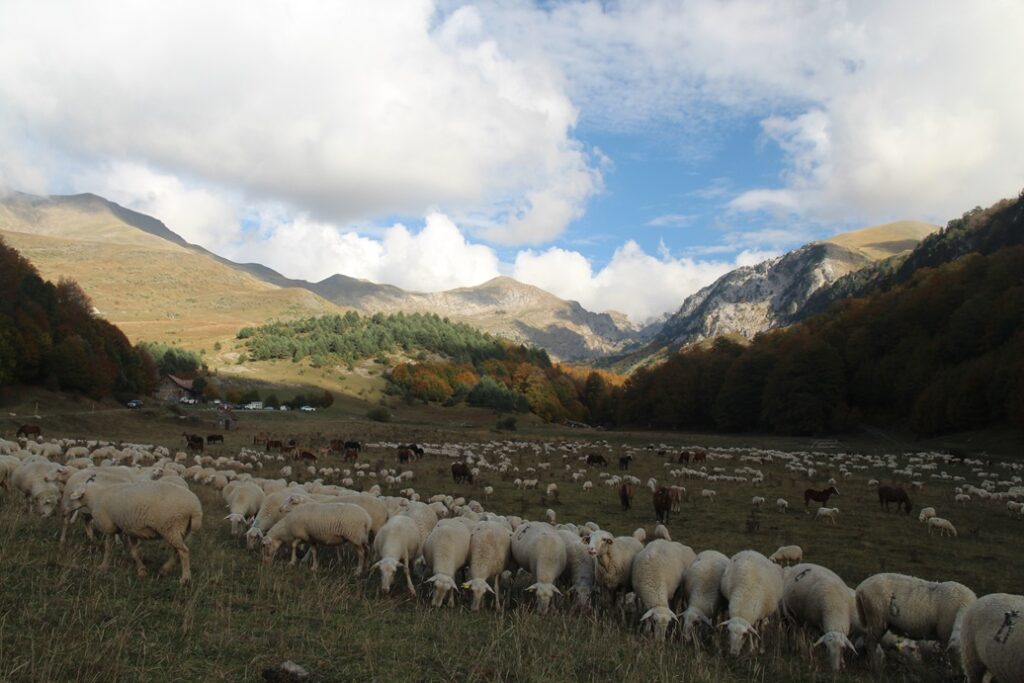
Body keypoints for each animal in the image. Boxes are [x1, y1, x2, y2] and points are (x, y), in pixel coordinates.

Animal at [67, 480, 203, 584]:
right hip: (180, 531)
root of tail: (195, 508)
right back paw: (165, 569)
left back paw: (185, 578)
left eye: (73, 494)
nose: (65, 510)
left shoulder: (109, 526)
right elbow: (134, 552)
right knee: (177, 550)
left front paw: (103, 566)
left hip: (171, 526)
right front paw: (141, 570)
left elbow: (108, 548)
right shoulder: (131, 529)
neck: (96, 497)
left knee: (184, 552)